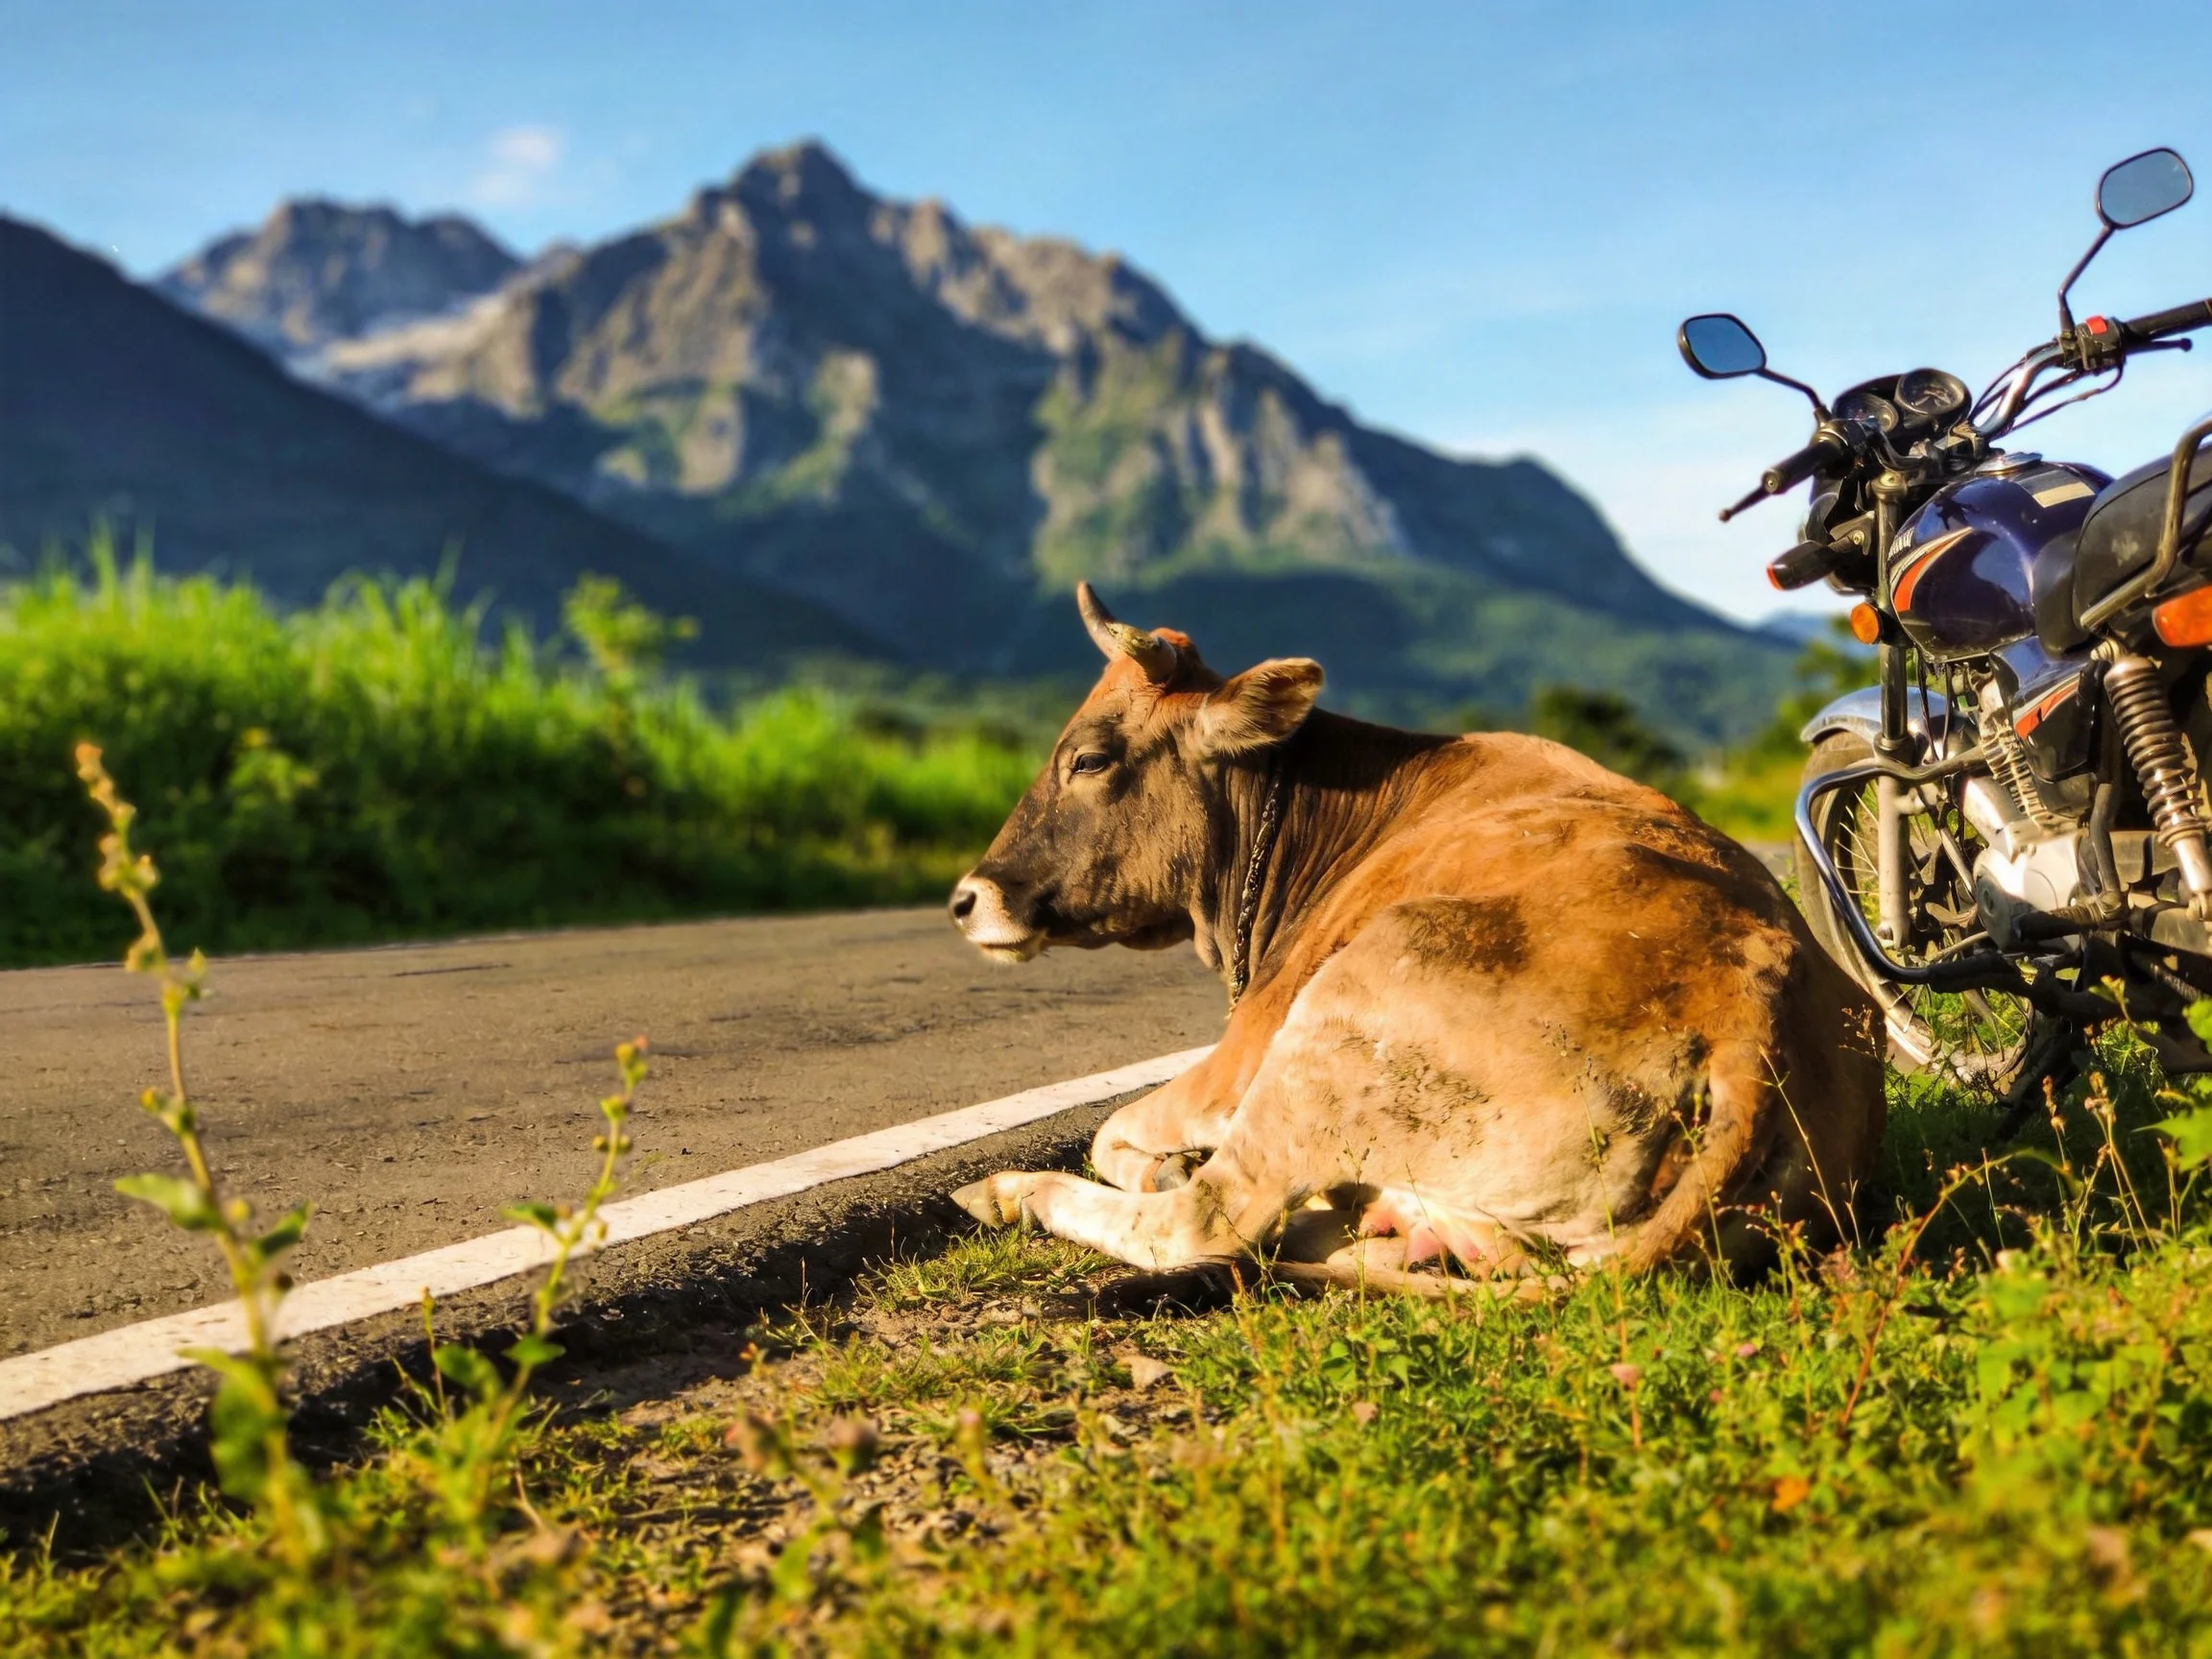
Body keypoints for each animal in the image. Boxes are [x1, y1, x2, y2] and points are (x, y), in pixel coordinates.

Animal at [947, 585, 1886, 1287]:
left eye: (1089, 758)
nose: (966, 898)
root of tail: (1753, 1017)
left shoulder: (1240, 1052)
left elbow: (1110, 1134)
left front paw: (1160, 1160)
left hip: (1337, 1018)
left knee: (1205, 1219)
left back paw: (1014, 1190)